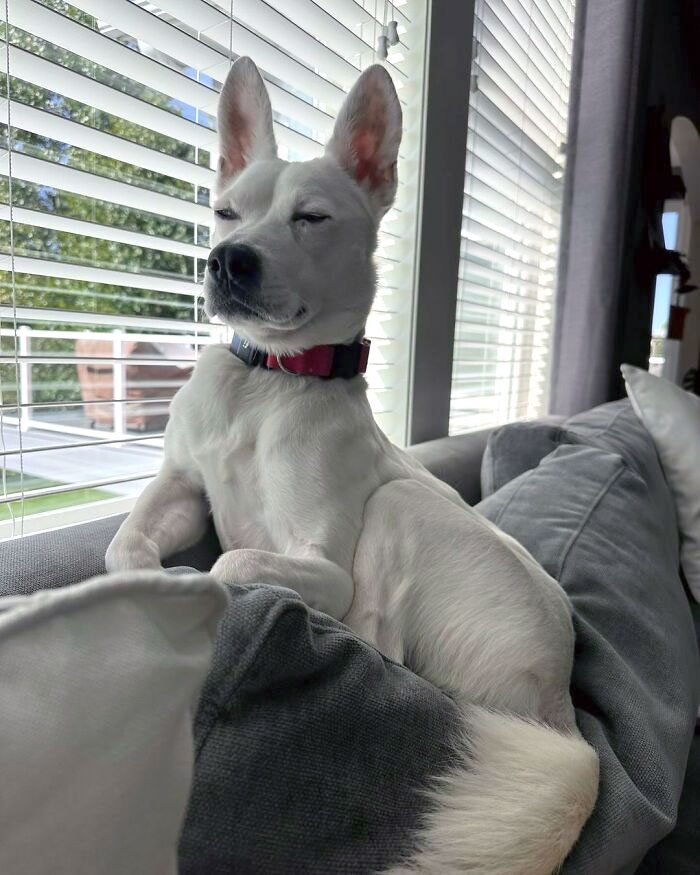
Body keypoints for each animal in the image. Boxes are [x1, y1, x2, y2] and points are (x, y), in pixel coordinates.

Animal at [106, 58, 600, 872]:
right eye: (226, 213)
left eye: (310, 218)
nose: (228, 260)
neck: (268, 381)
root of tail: (559, 713)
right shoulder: (181, 486)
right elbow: (126, 543)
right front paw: (145, 577)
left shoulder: (321, 561)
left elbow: (232, 561)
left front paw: (197, 584)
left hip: (400, 509)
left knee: (376, 640)